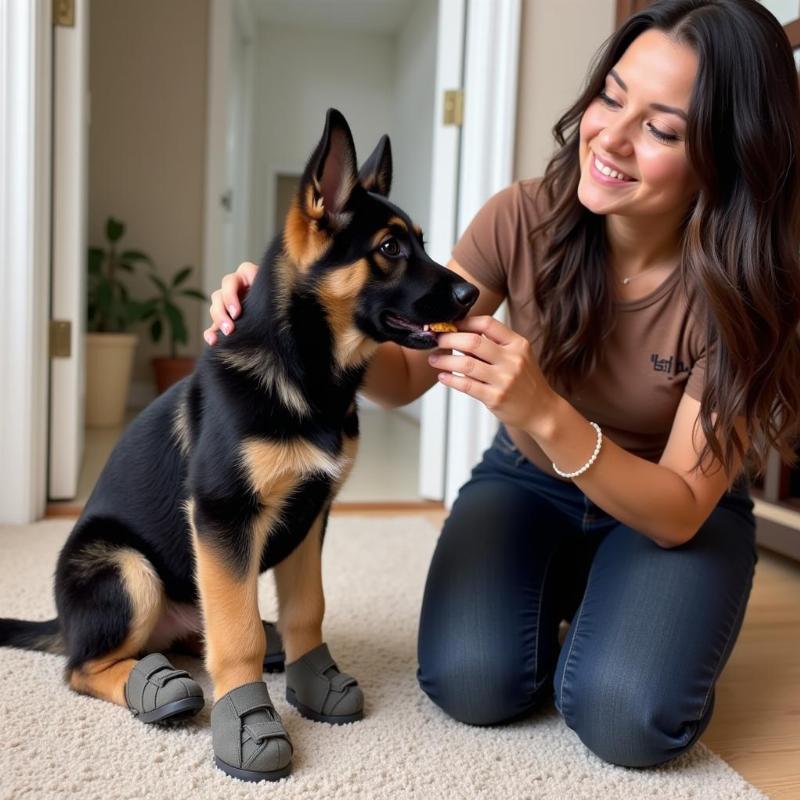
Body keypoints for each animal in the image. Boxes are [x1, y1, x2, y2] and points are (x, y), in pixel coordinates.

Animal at [0, 109, 476, 780]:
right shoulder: (225, 516)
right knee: (84, 666)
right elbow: (238, 635)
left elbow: (307, 607)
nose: (473, 295)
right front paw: (249, 723)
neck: (307, 373)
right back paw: (153, 686)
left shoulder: (311, 515)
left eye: (425, 244)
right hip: (128, 568)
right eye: (389, 249)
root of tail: (65, 621)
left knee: (198, 629)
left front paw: (311, 677)